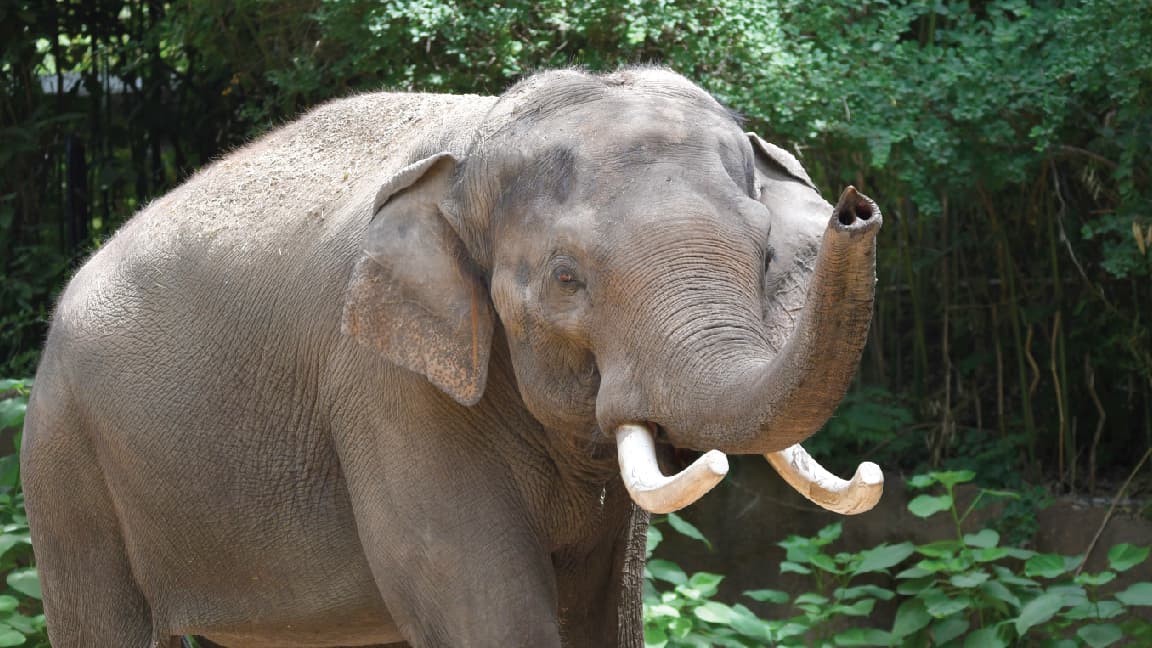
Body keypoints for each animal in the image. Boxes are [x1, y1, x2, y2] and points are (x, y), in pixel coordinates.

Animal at [21, 66, 883, 647]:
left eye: (765, 254)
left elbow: (607, 605)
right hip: (66, 460)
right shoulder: (385, 386)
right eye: (566, 280)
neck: (470, 155)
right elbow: (483, 602)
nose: (858, 206)